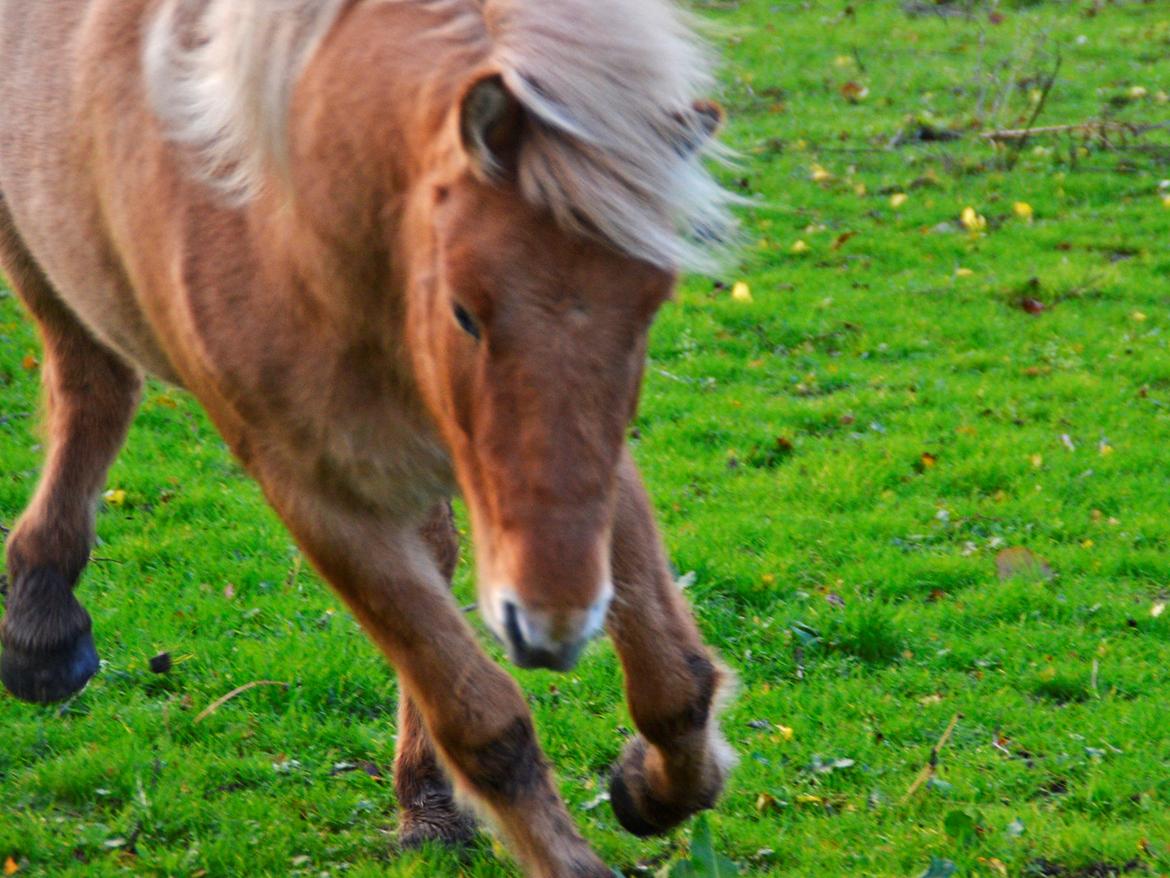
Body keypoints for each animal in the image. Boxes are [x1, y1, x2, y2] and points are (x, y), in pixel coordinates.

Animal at [0, 3, 734, 875]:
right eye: (464, 310)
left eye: (652, 304)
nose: (554, 628)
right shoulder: (316, 490)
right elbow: (485, 722)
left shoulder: (577, 466)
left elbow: (673, 680)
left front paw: (651, 787)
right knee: (91, 384)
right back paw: (41, 622)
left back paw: (427, 798)